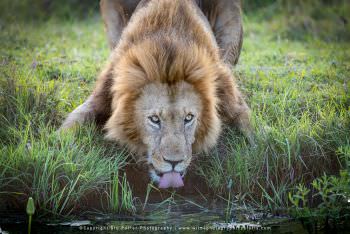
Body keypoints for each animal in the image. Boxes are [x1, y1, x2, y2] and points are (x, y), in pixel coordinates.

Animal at [60, 0, 252, 189]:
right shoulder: (104, 90)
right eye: (154, 119)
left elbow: (250, 129)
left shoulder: (228, 92)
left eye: (189, 118)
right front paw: (60, 149)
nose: (174, 162)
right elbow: (73, 121)